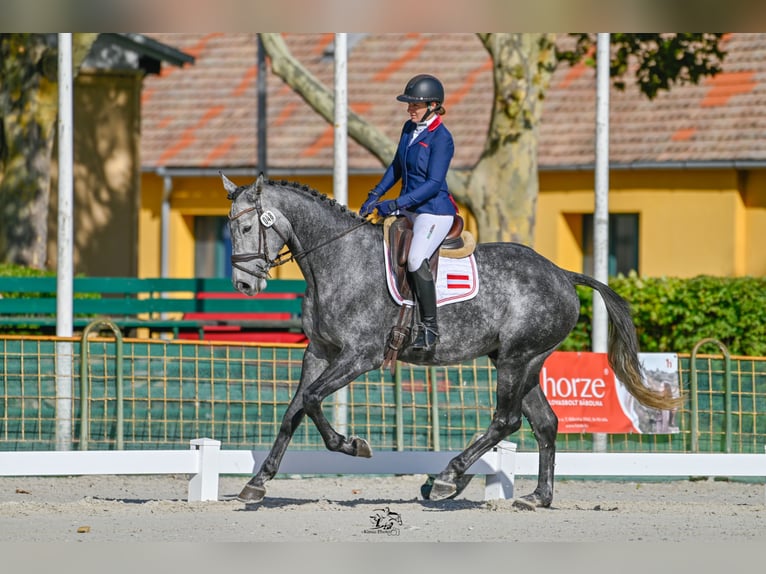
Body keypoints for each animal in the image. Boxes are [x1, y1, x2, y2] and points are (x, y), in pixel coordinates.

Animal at [225, 174, 680, 508]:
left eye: (247, 227)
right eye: (229, 229)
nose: (245, 285)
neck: (336, 259)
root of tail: (562, 274)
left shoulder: (359, 356)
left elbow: (314, 399)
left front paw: (352, 445)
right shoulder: (319, 352)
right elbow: (294, 410)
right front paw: (258, 482)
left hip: (516, 359)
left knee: (507, 420)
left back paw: (447, 478)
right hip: (522, 361)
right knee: (545, 423)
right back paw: (536, 497)